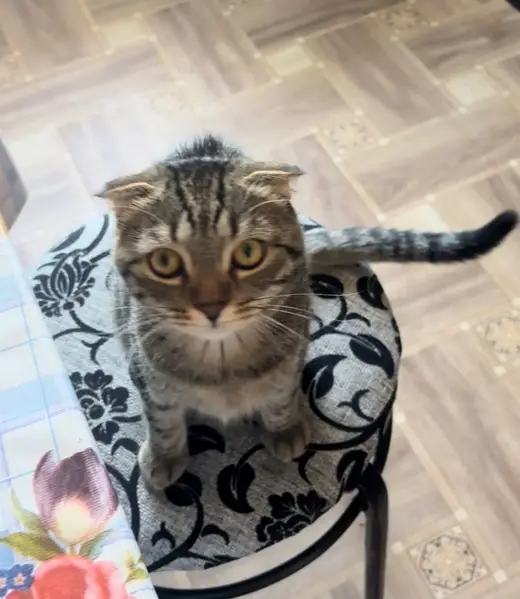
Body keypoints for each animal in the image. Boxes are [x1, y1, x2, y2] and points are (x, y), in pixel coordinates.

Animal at [100, 134, 517, 491]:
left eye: (248, 253)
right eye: (165, 262)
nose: (211, 306)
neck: (223, 364)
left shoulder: (292, 354)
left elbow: (281, 395)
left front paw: (284, 428)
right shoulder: (144, 372)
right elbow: (162, 417)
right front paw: (164, 455)